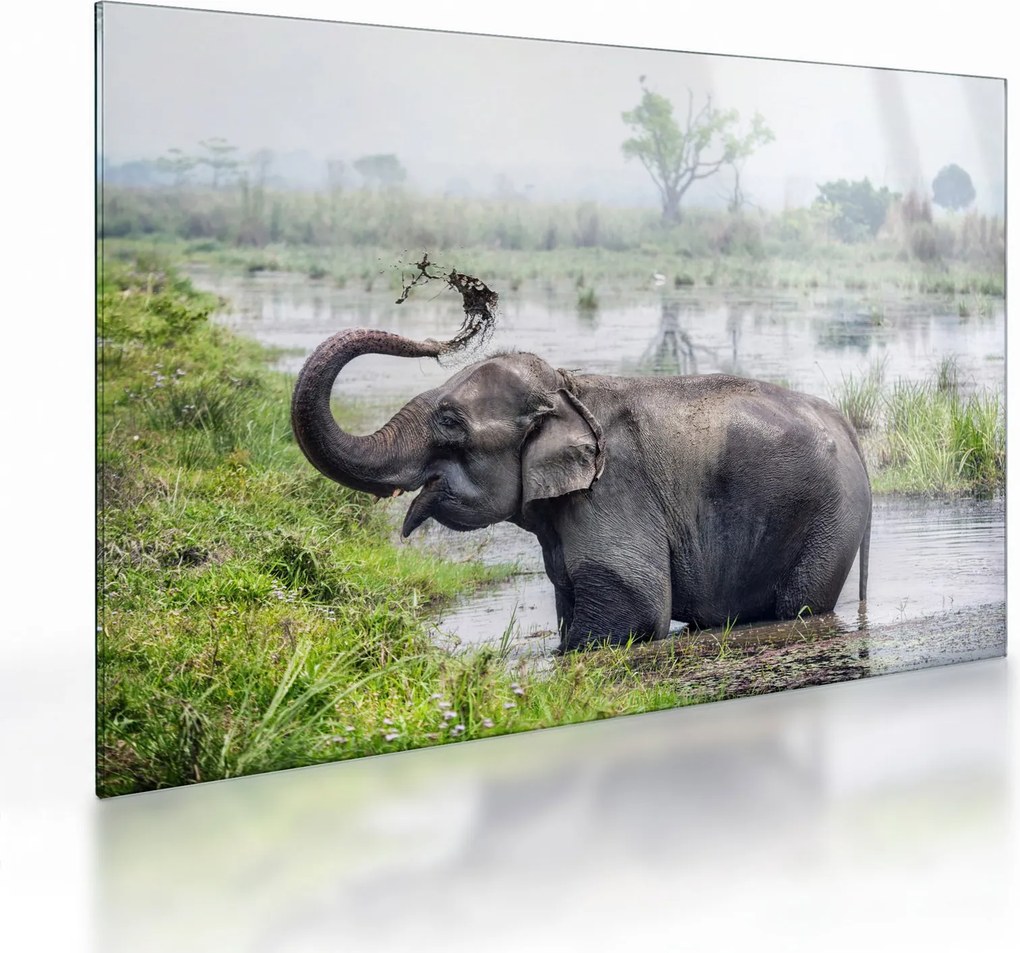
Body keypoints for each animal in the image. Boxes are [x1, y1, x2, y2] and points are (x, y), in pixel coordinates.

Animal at [291, 326, 872, 652]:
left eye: (451, 421)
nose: (441, 338)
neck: (568, 387)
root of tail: (848, 430)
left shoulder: (612, 491)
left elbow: (635, 610)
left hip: (829, 519)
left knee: (800, 607)